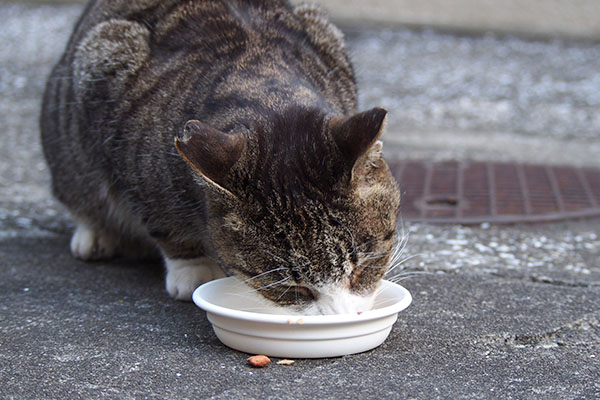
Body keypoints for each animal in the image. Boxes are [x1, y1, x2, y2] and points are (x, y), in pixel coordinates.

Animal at [41, 0, 398, 316]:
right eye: (294, 288)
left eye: (363, 267)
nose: (344, 315)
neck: (263, 85)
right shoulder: (128, 143)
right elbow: (162, 222)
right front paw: (193, 268)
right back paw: (95, 233)